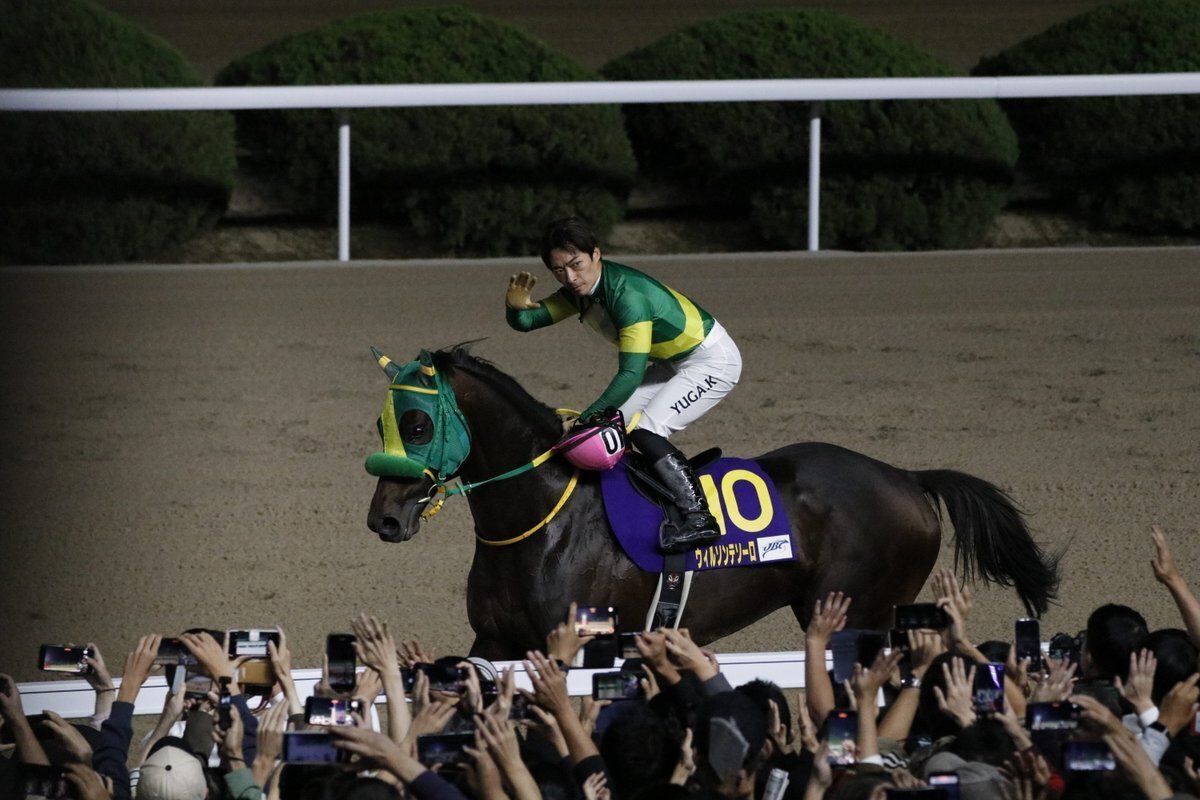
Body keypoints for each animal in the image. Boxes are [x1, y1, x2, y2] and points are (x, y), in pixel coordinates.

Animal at [366, 346, 1060, 661]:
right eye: (381, 425)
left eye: (419, 425)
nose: (384, 519)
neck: (540, 524)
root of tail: (907, 476)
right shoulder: (495, 641)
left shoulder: (581, 644)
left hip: (858, 609)